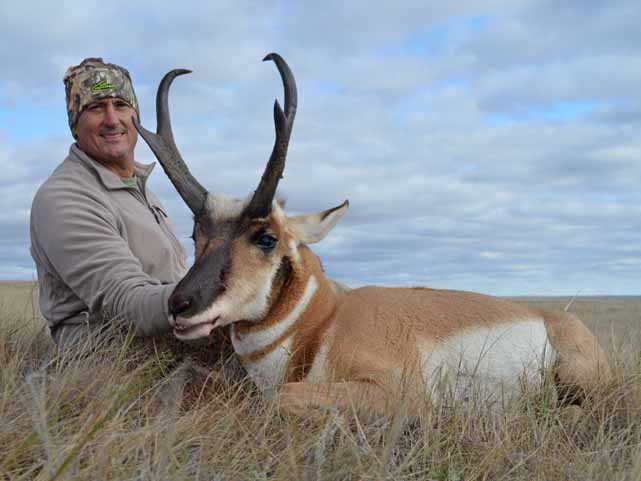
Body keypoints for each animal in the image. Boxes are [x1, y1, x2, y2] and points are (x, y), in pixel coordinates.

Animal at [134, 51, 608, 412]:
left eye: (266, 237)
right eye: (196, 234)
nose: (179, 305)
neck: (321, 320)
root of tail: (549, 316)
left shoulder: (398, 394)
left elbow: (285, 396)